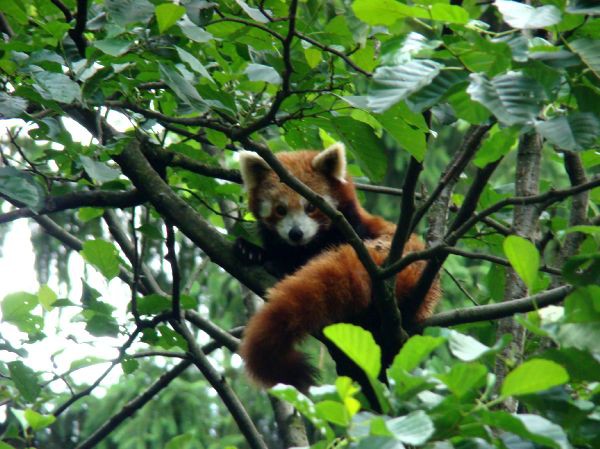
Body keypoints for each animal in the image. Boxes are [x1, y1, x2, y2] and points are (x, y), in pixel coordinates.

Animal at [238, 145, 440, 390]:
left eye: (310, 207)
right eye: (280, 210)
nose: (296, 233)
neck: (306, 247)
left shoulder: (352, 229)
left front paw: (277, 264)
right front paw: (251, 250)